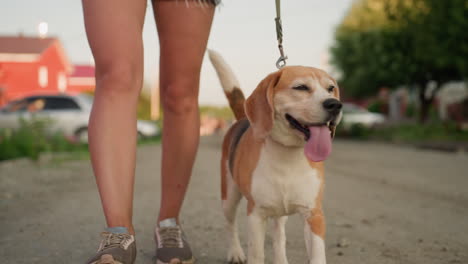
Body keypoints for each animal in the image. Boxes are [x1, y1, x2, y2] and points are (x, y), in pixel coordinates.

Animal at [208, 50, 340, 264]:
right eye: (301, 87)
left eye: (331, 88)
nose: (335, 105)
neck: (288, 156)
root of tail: (243, 118)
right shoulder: (256, 215)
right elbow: (256, 255)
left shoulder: (314, 214)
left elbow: (316, 255)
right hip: (229, 196)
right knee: (230, 224)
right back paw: (235, 252)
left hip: (280, 212)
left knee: (279, 237)